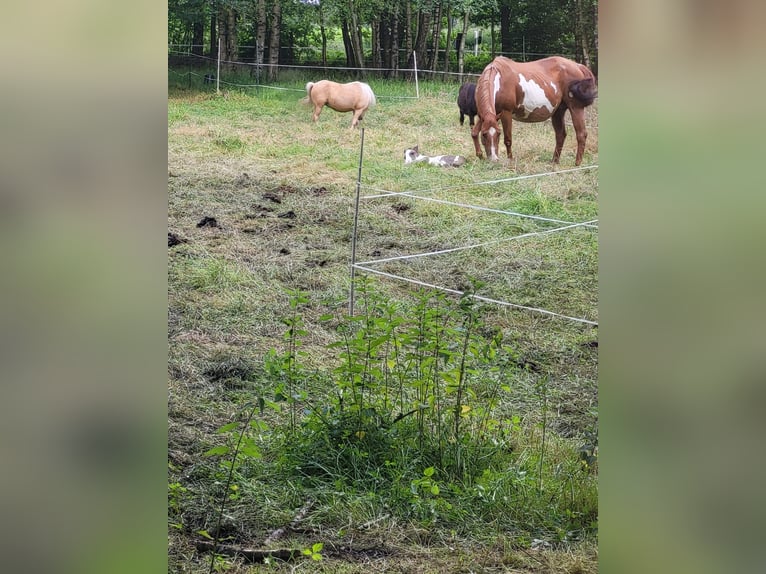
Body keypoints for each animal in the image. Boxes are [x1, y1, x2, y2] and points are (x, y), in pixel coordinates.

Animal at [468, 56, 600, 166]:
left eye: (498, 134)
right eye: (484, 134)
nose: (494, 159)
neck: (499, 79)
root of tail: (578, 65)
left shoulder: (506, 113)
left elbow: (508, 140)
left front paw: (510, 160)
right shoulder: (487, 116)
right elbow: (474, 133)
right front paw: (480, 155)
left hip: (576, 108)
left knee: (581, 134)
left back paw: (577, 163)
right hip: (558, 111)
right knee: (560, 135)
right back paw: (554, 161)